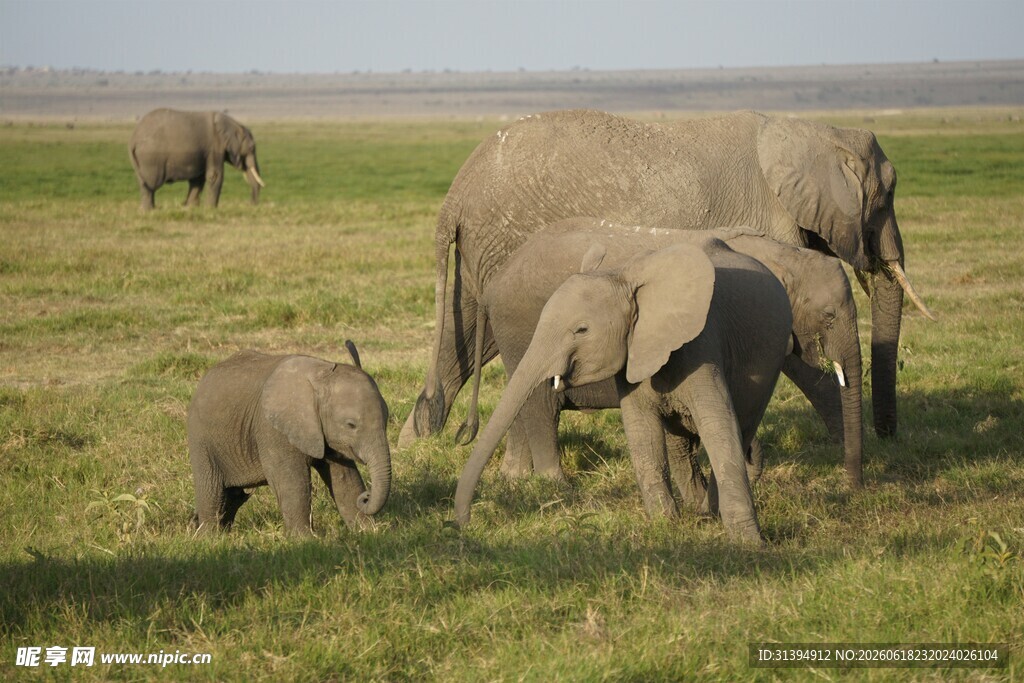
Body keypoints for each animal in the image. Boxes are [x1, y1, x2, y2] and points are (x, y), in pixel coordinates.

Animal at [129, 108, 265, 210]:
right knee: (151, 184)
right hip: (150, 158)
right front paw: (210, 209)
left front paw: (190, 207)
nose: (251, 205)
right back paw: (148, 210)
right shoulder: (215, 146)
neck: (232, 123)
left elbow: (198, 179)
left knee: (144, 184)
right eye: (252, 147)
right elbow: (214, 176)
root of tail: (133, 138)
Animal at [187, 342, 390, 536]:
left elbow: (345, 478)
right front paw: (306, 539)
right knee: (212, 489)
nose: (366, 496)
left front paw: (369, 532)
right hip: (200, 438)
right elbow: (291, 480)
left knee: (234, 495)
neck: (322, 374)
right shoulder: (272, 429)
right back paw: (209, 536)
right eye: (351, 425)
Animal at [402, 109, 933, 451]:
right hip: (505, 238)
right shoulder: (768, 223)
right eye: (887, 195)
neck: (812, 130)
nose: (890, 437)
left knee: (467, 333)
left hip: (486, 249)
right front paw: (853, 445)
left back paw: (417, 441)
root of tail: (456, 192)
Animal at [453, 238, 794, 544]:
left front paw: (749, 543)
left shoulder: (701, 344)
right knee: (680, 442)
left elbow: (718, 427)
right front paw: (666, 526)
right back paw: (701, 511)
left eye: (582, 330)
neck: (623, 277)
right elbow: (642, 432)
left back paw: (710, 511)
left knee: (743, 423)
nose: (466, 522)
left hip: (768, 361)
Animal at [458, 219, 864, 489]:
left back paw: (515, 479)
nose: (852, 486)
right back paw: (558, 487)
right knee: (541, 403)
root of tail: (493, 282)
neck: (785, 256)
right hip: (522, 325)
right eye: (829, 316)